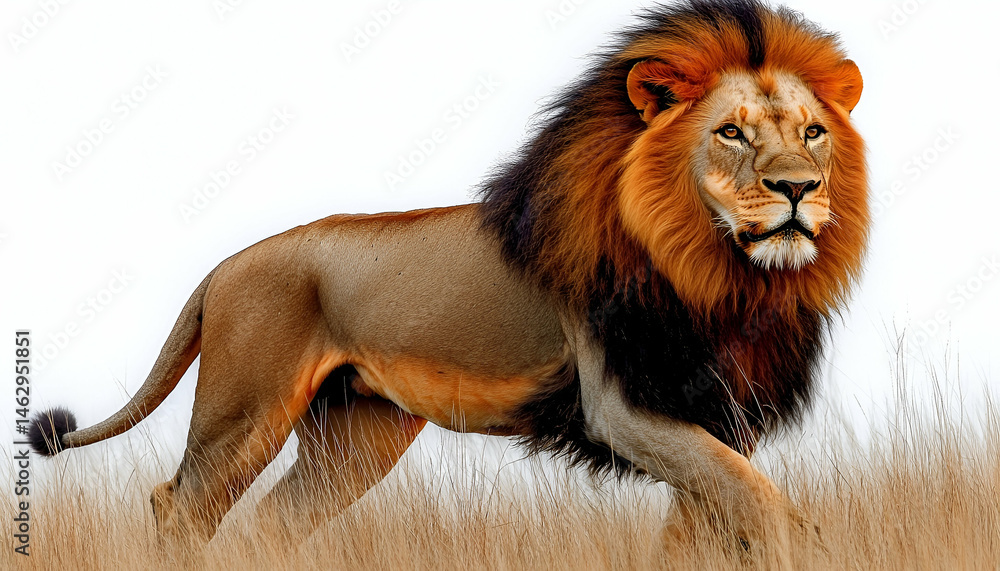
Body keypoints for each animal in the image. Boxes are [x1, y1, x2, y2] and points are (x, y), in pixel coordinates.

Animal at [30, 0, 867, 559]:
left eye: (812, 132)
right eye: (731, 133)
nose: (798, 187)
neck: (726, 276)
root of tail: (221, 265)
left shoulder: (719, 414)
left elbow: (709, 519)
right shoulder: (623, 406)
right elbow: (760, 504)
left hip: (356, 434)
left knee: (273, 521)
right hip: (245, 409)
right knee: (180, 504)